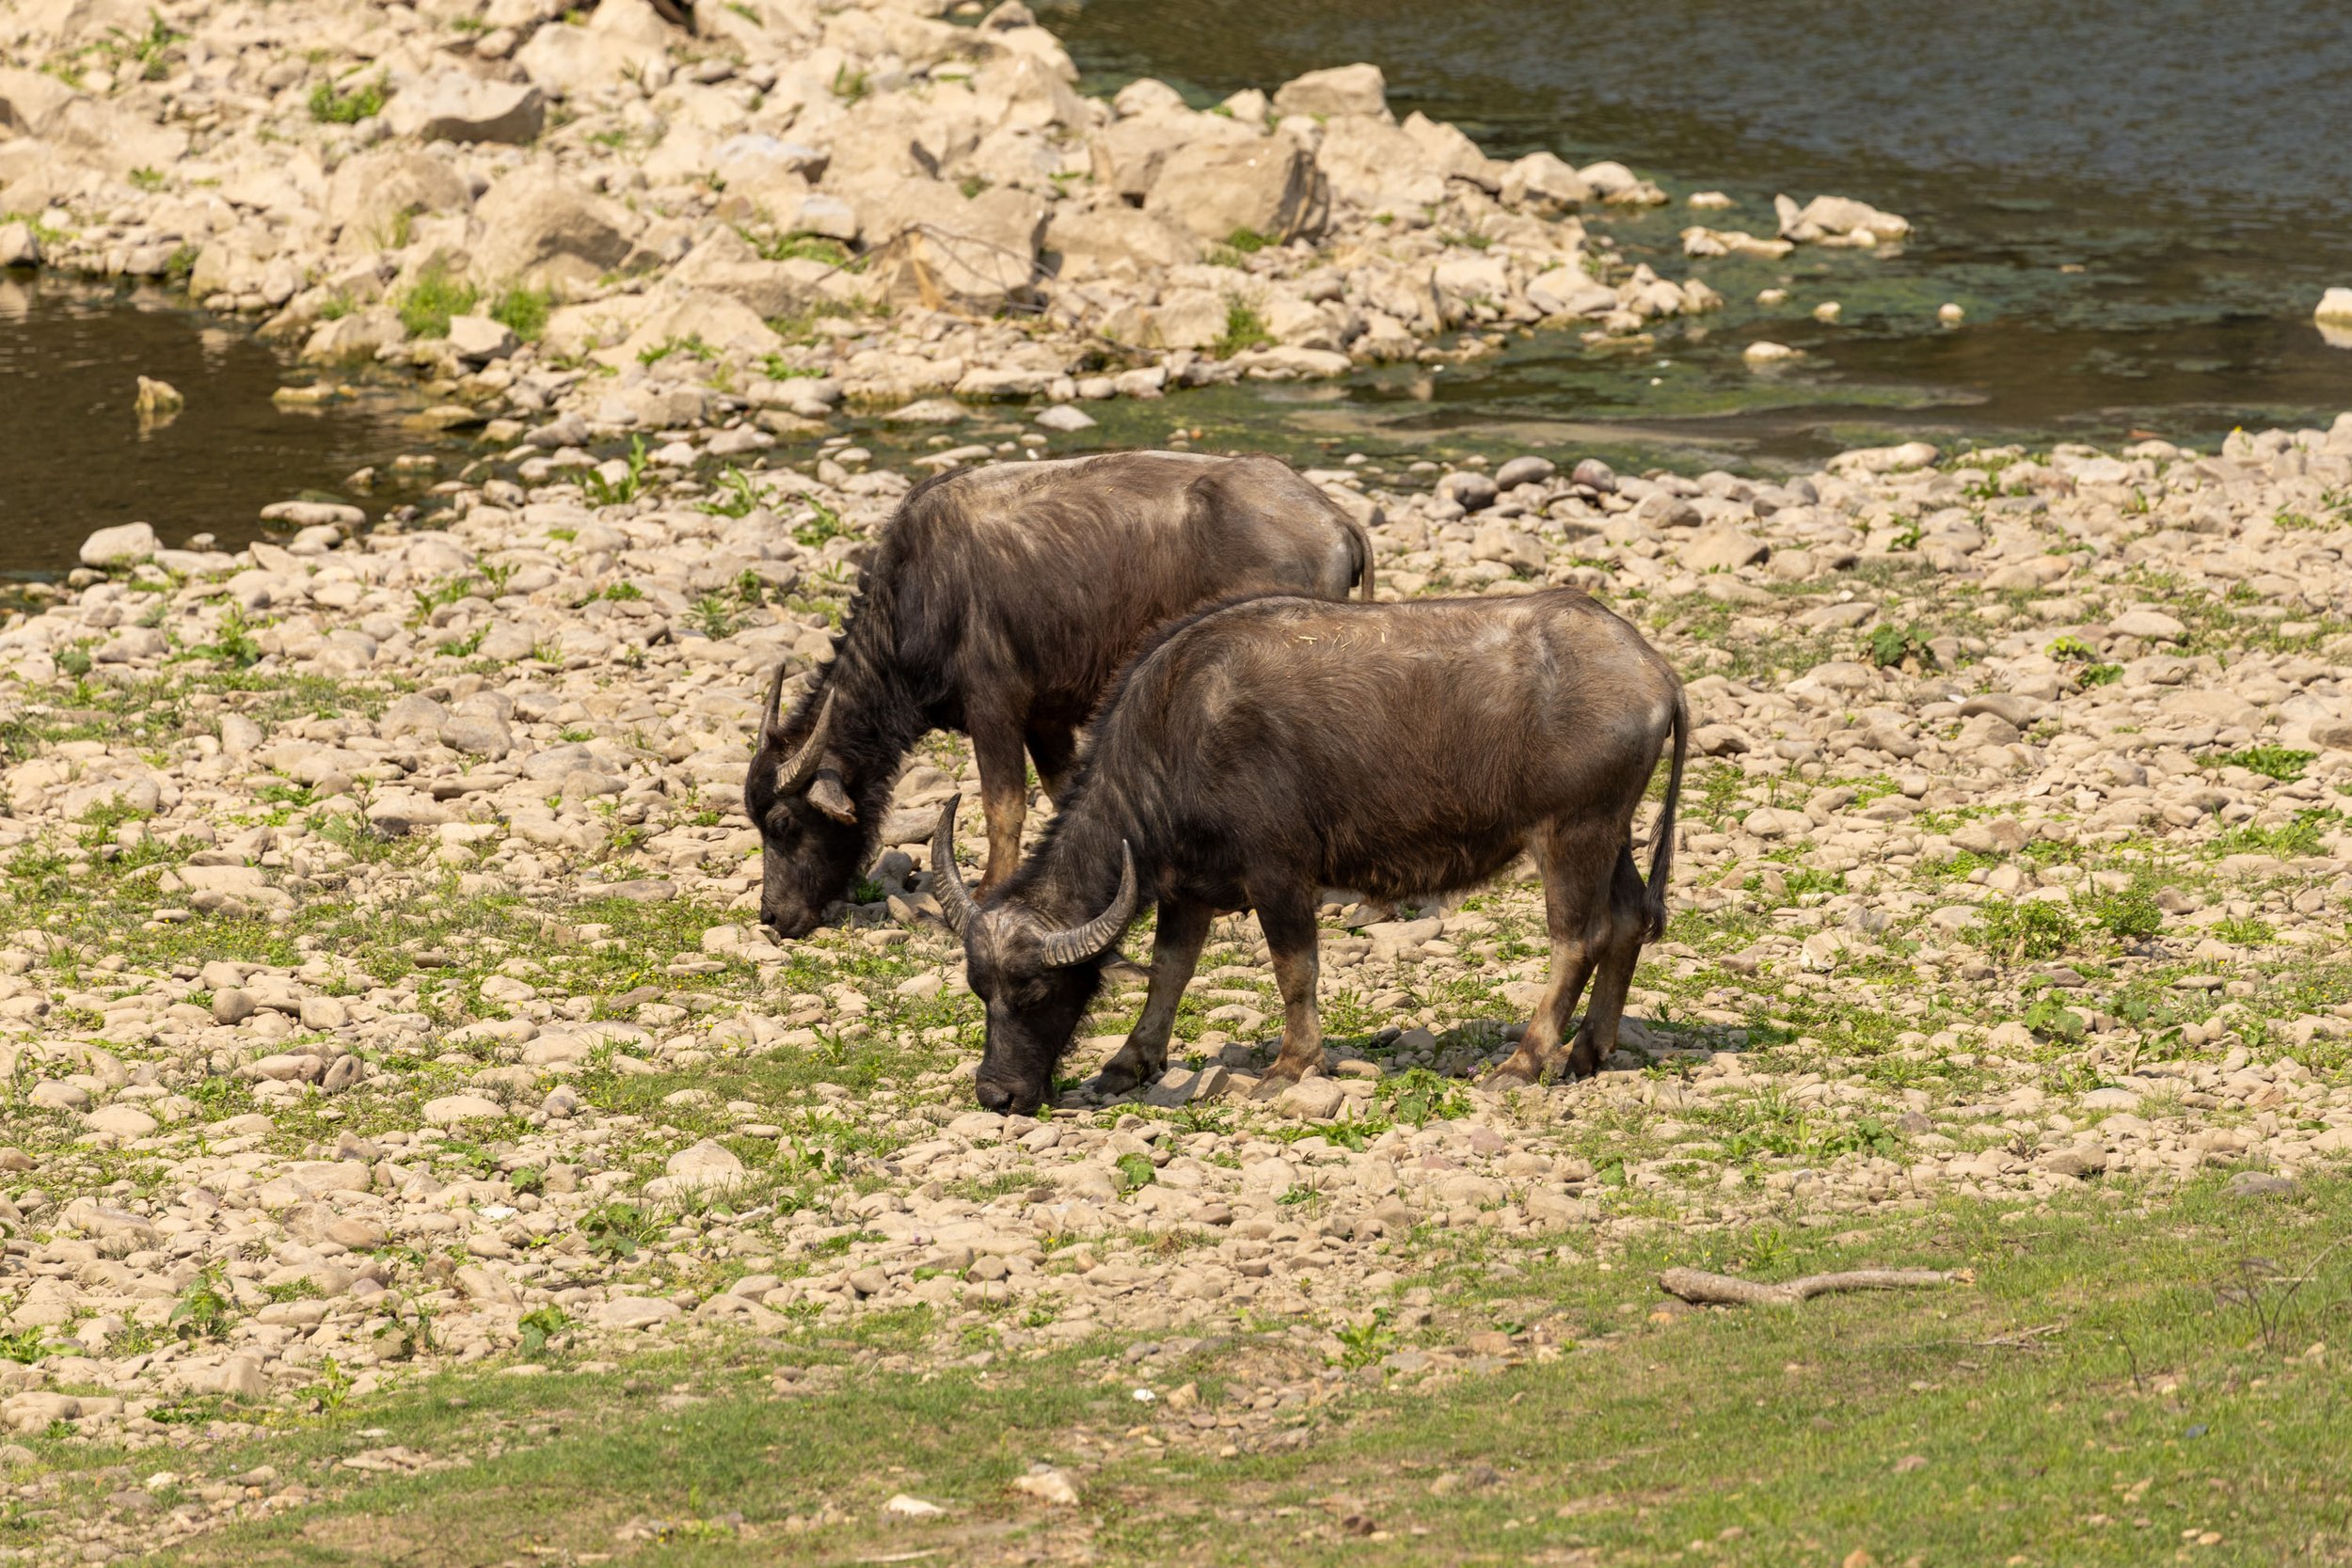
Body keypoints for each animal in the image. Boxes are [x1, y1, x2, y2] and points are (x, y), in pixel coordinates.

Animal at [745, 452, 1372, 938]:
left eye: (782, 824)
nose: (772, 918)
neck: (918, 592)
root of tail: (1334, 517)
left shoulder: (994, 709)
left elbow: (1003, 804)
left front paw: (987, 890)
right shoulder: (1046, 720)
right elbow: (1062, 790)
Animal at [934, 589, 1688, 1115]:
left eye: (1035, 990)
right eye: (980, 989)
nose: (996, 1094)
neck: (1180, 731)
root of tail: (1655, 671)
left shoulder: (1280, 875)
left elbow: (1294, 969)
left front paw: (1291, 1066)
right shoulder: (1186, 889)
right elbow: (1169, 971)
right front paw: (1129, 1061)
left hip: (1572, 833)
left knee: (1577, 939)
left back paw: (1524, 1062)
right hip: (1612, 833)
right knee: (1628, 921)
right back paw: (1588, 1050)